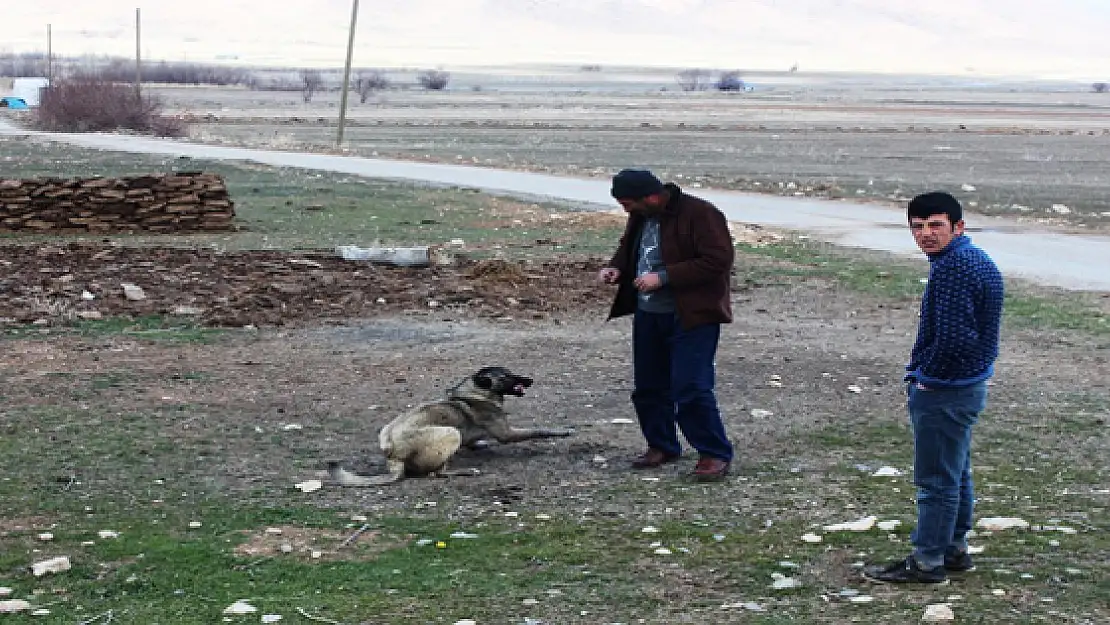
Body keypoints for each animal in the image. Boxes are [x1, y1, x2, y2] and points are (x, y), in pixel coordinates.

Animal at [324, 366, 572, 488]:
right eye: (507, 377)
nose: (530, 380)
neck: (477, 391)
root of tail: (392, 453)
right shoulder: (507, 434)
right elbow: (539, 430)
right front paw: (563, 431)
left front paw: (480, 444)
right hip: (450, 433)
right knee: (436, 473)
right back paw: (465, 471)